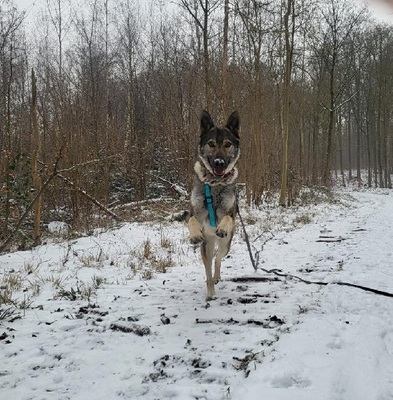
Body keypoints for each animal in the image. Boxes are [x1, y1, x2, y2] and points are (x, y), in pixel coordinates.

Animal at [187, 110, 239, 300]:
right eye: (211, 144)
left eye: (227, 144)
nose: (219, 163)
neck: (214, 183)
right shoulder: (194, 210)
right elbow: (191, 220)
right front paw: (194, 235)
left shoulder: (230, 213)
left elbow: (226, 218)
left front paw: (222, 227)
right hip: (206, 248)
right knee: (208, 269)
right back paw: (210, 291)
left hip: (225, 245)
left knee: (217, 259)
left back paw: (216, 277)